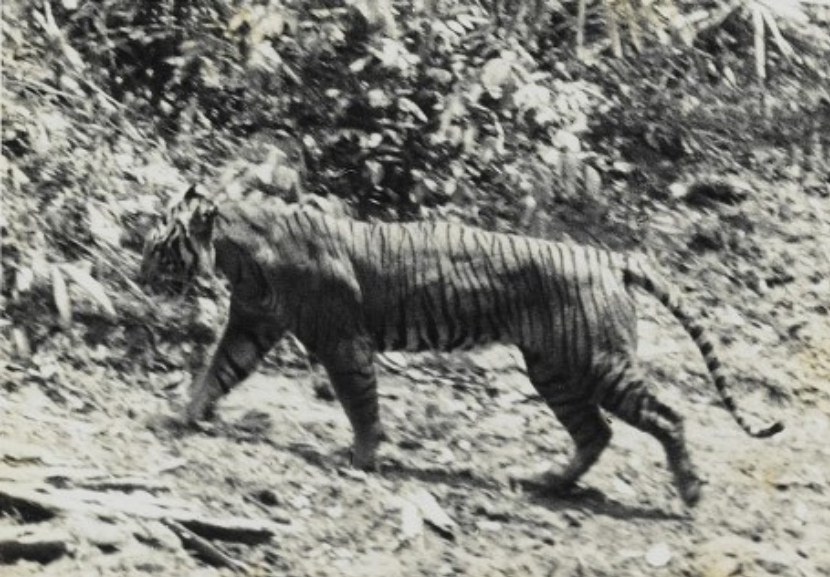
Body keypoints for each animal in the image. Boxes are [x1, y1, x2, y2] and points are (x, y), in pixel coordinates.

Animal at [143, 184, 788, 504]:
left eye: (159, 243)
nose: (140, 267)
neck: (238, 254)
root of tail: (607, 256)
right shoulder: (251, 326)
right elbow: (217, 372)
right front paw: (184, 416)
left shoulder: (341, 341)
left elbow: (359, 401)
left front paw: (362, 458)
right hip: (554, 371)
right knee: (595, 432)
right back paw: (548, 483)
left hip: (600, 363)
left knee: (668, 416)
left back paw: (691, 491)